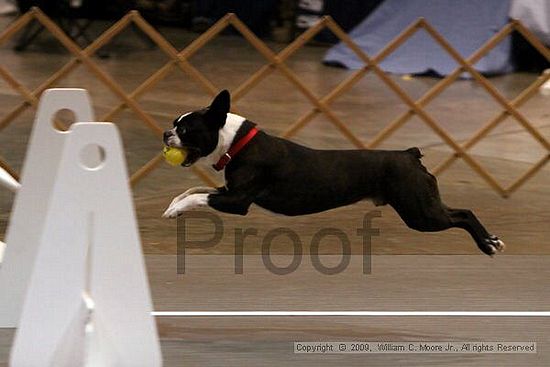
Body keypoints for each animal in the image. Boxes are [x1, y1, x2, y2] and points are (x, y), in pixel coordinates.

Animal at [162, 90, 506, 256]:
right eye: (175, 124)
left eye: (186, 129)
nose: (166, 134)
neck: (237, 142)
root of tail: (409, 155)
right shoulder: (227, 192)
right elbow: (193, 191)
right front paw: (173, 206)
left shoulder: (237, 201)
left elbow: (198, 197)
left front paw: (176, 210)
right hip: (423, 203)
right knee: (462, 211)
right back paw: (491, 241)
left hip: (420, 213)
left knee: (461, 216)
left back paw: (487, 245)